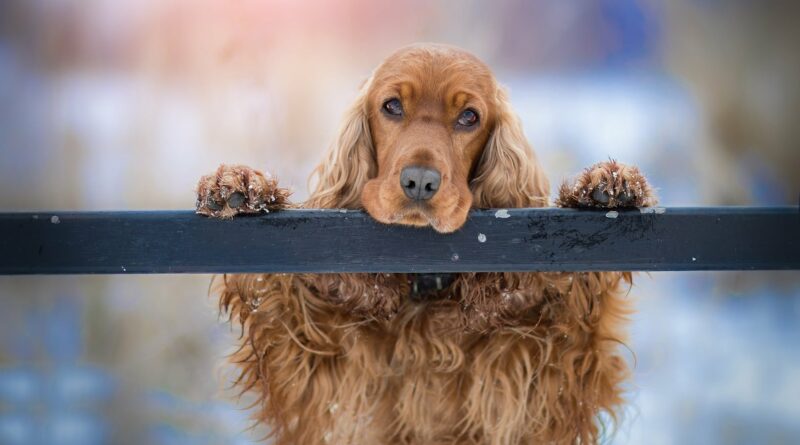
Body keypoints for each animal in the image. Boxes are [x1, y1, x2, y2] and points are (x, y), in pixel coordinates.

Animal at [195, 42, 656, 444]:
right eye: (391, 106)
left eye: (469, 116)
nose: (419, 181)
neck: (425, 288)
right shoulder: (316, 375)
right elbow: (275, 298)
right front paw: (239, 187)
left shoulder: (544, 377)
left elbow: (579, 318)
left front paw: (604, 186)